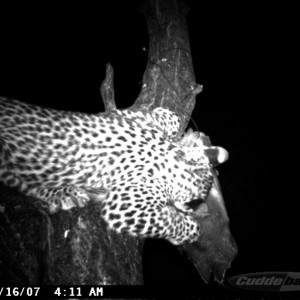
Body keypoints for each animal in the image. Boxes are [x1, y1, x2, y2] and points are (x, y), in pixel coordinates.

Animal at [0, 97, 229, 245]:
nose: (194, 210)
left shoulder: (120, 115)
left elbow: (166, 120)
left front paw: (166, 115)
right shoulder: (125, 206)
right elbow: (165, 222)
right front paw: (192, 231)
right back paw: (64, 193)